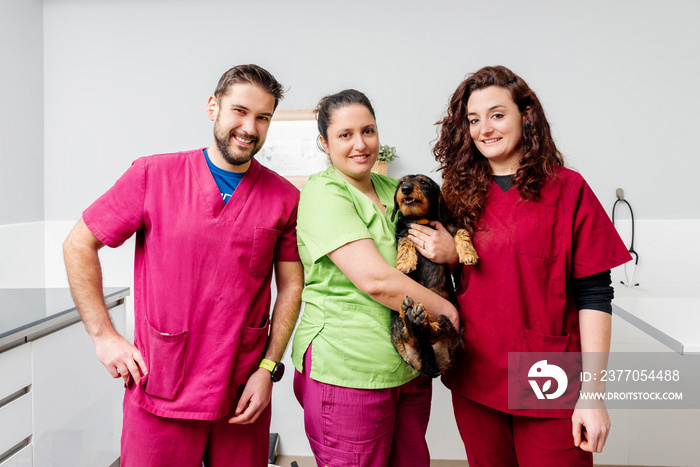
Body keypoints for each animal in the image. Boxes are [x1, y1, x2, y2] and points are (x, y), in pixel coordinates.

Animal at [392, 174, 478, 378]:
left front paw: (468, 253)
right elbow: (405, 238)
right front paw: (405, 263)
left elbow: (461, 231)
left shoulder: (449, 226)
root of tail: (428, 365)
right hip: (397, 328)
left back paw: (418, 318)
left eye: (423, 182)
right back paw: (411, 316)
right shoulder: (403, 231)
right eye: (402, 182)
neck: (420, 220)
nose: (406, 189)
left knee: (432, 331)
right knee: (413, 336)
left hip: (446, 324)